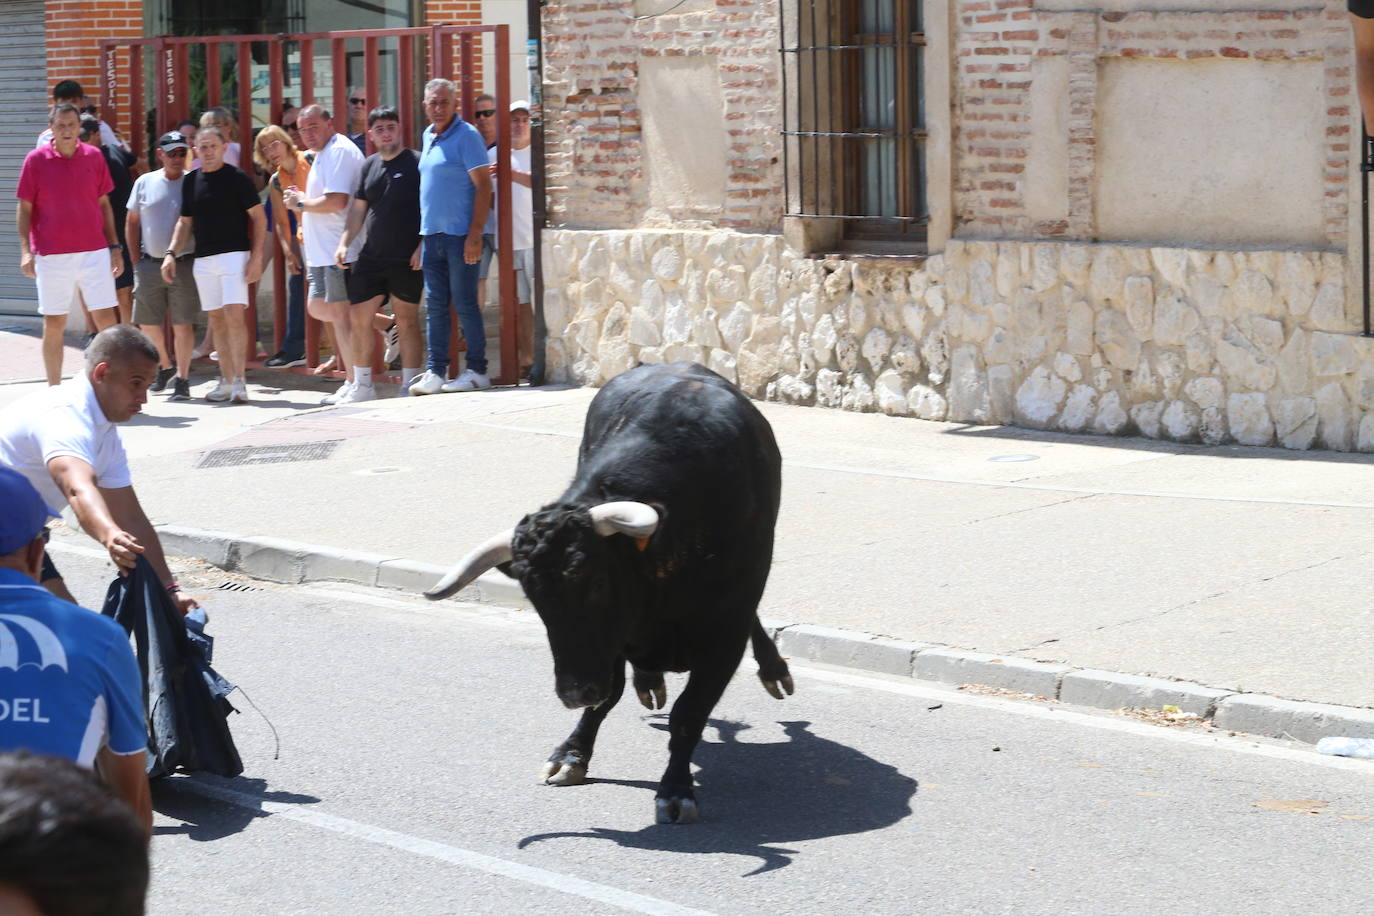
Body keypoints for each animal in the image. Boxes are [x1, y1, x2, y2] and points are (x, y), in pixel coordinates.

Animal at [425, 362, 796, 829]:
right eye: (534, 597)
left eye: (597, 582)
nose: (573, 692)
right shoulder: (609, 645)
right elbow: (611, 694)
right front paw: (571, 755)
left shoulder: (724, 636)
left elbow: (688, 714)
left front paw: (675, 791)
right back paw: (649, 682)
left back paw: (773, 670)